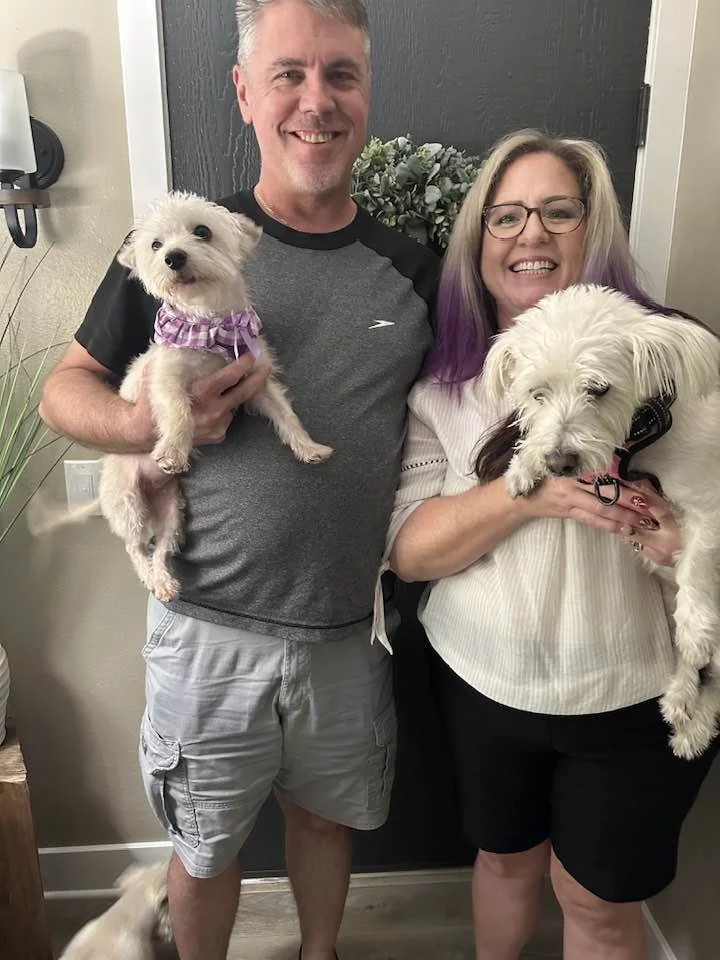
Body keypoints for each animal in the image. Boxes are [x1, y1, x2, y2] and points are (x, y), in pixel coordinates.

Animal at [33, 192, 332, 601]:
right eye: (156, 245)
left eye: (202, 231)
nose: (174, 257)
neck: (210, 321)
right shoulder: (166, 380)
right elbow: (179, 413)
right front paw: (174, 451)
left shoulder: (259, 382)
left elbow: (286, 415)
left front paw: (309, 447)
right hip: (128, 504)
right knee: (135, 548)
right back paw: (152, 576)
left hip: (172, 513)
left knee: (160, 549)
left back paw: (164, 581)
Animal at [479, 283, 720, 759]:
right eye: (537, 394)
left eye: (599, 389)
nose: (560, 462)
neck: (639, 444)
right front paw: (524, 466)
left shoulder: (710, 504)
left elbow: (696, 566)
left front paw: (696, 628)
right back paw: (682, 704)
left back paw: (697, 722)